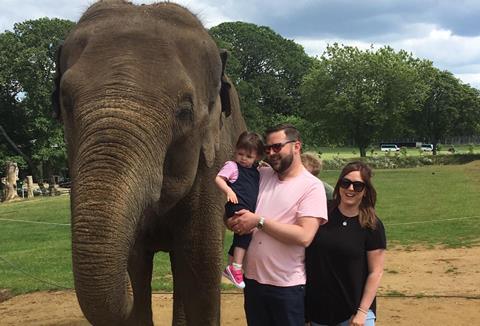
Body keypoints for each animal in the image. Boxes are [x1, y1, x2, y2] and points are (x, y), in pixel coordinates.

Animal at [52, 1, 246, 324]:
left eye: (184, 111)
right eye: (65, 102)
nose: (126, 293)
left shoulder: (213, 161)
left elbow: (201, 269)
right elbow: (137, 264)